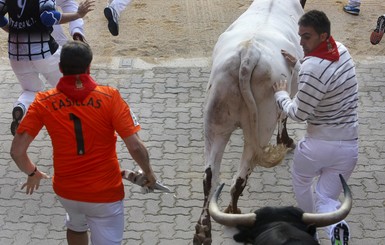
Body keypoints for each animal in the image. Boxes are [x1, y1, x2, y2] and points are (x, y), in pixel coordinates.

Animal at [194, 0, 304, 245]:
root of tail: (249, 52)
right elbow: (285, 115)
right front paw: (286, 141)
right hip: (261, 127)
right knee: (240, 176)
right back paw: (233, 213)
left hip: (214, 122)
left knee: (209, 177)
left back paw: (203, 232)